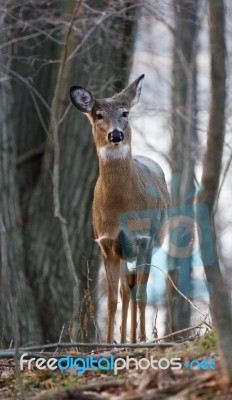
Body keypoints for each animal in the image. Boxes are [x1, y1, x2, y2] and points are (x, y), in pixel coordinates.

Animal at [70, 75, 169, 344]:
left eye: (125, 113)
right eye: (99, 114)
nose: (116, 134)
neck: (122, 208)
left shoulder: (145, 240)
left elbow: (142, 295)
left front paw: (143, 340)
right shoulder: (106, 244)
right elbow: (112, 300)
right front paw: (107, 343)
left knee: (135, 291)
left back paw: (135, 340)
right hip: (124, 254)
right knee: (126, 291)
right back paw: (125, 340)